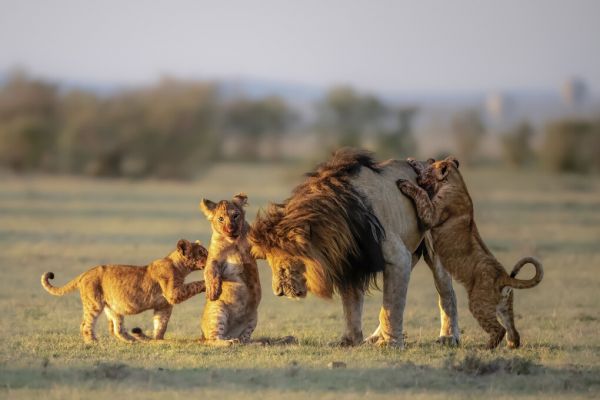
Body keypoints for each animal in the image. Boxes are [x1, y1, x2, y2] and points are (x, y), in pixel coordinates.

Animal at [41, 239, 206, 342]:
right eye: (202, 253)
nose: (209, 255)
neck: (179, 267)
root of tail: (85, 273)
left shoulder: (164, 306)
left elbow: (161, 324)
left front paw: (156, 339)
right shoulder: (173, 294)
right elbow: (194, 285)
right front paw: (207, 283)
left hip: (113, 307)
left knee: (117, 329)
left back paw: (133, 341)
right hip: (94, 304)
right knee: (85, 324)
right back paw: (93, 341)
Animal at [248, 148, 460, 346]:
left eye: (283, 266)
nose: (278, 292)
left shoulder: (398, 258)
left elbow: (391, 305)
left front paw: (390, 342)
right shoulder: (350, 260)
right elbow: (352, 306)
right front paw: (350, 341)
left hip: (434, 242)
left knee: (447, 292)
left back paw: (449, 337)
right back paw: (374, 337)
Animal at [398, 158, 544, 348]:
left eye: (429, 172)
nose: (418, 176)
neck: (456, 181)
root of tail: (504, 277)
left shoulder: (432, 213)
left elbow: (422, 193)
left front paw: (406, 184)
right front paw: (413, 162)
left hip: (478, 303)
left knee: (499, 330)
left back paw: (486, 347)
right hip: (505, 306)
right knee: (513, 330)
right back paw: (512, 344)